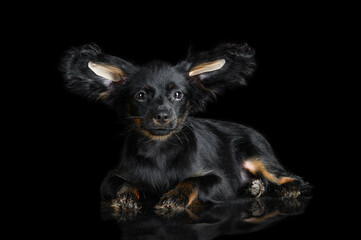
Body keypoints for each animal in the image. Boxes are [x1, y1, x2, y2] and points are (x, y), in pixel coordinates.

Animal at [59, 42, 310, 211]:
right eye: (141, 96)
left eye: (178, 95)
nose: (162, 115)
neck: (161, 149)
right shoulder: (110, 179)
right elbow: (123, 183)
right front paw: (128, 196)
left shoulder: (222, 182)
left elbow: (193, 180)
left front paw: (175, 197)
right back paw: (254, 187)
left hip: (258, 156)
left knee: (288, 177)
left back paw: (286, 188)